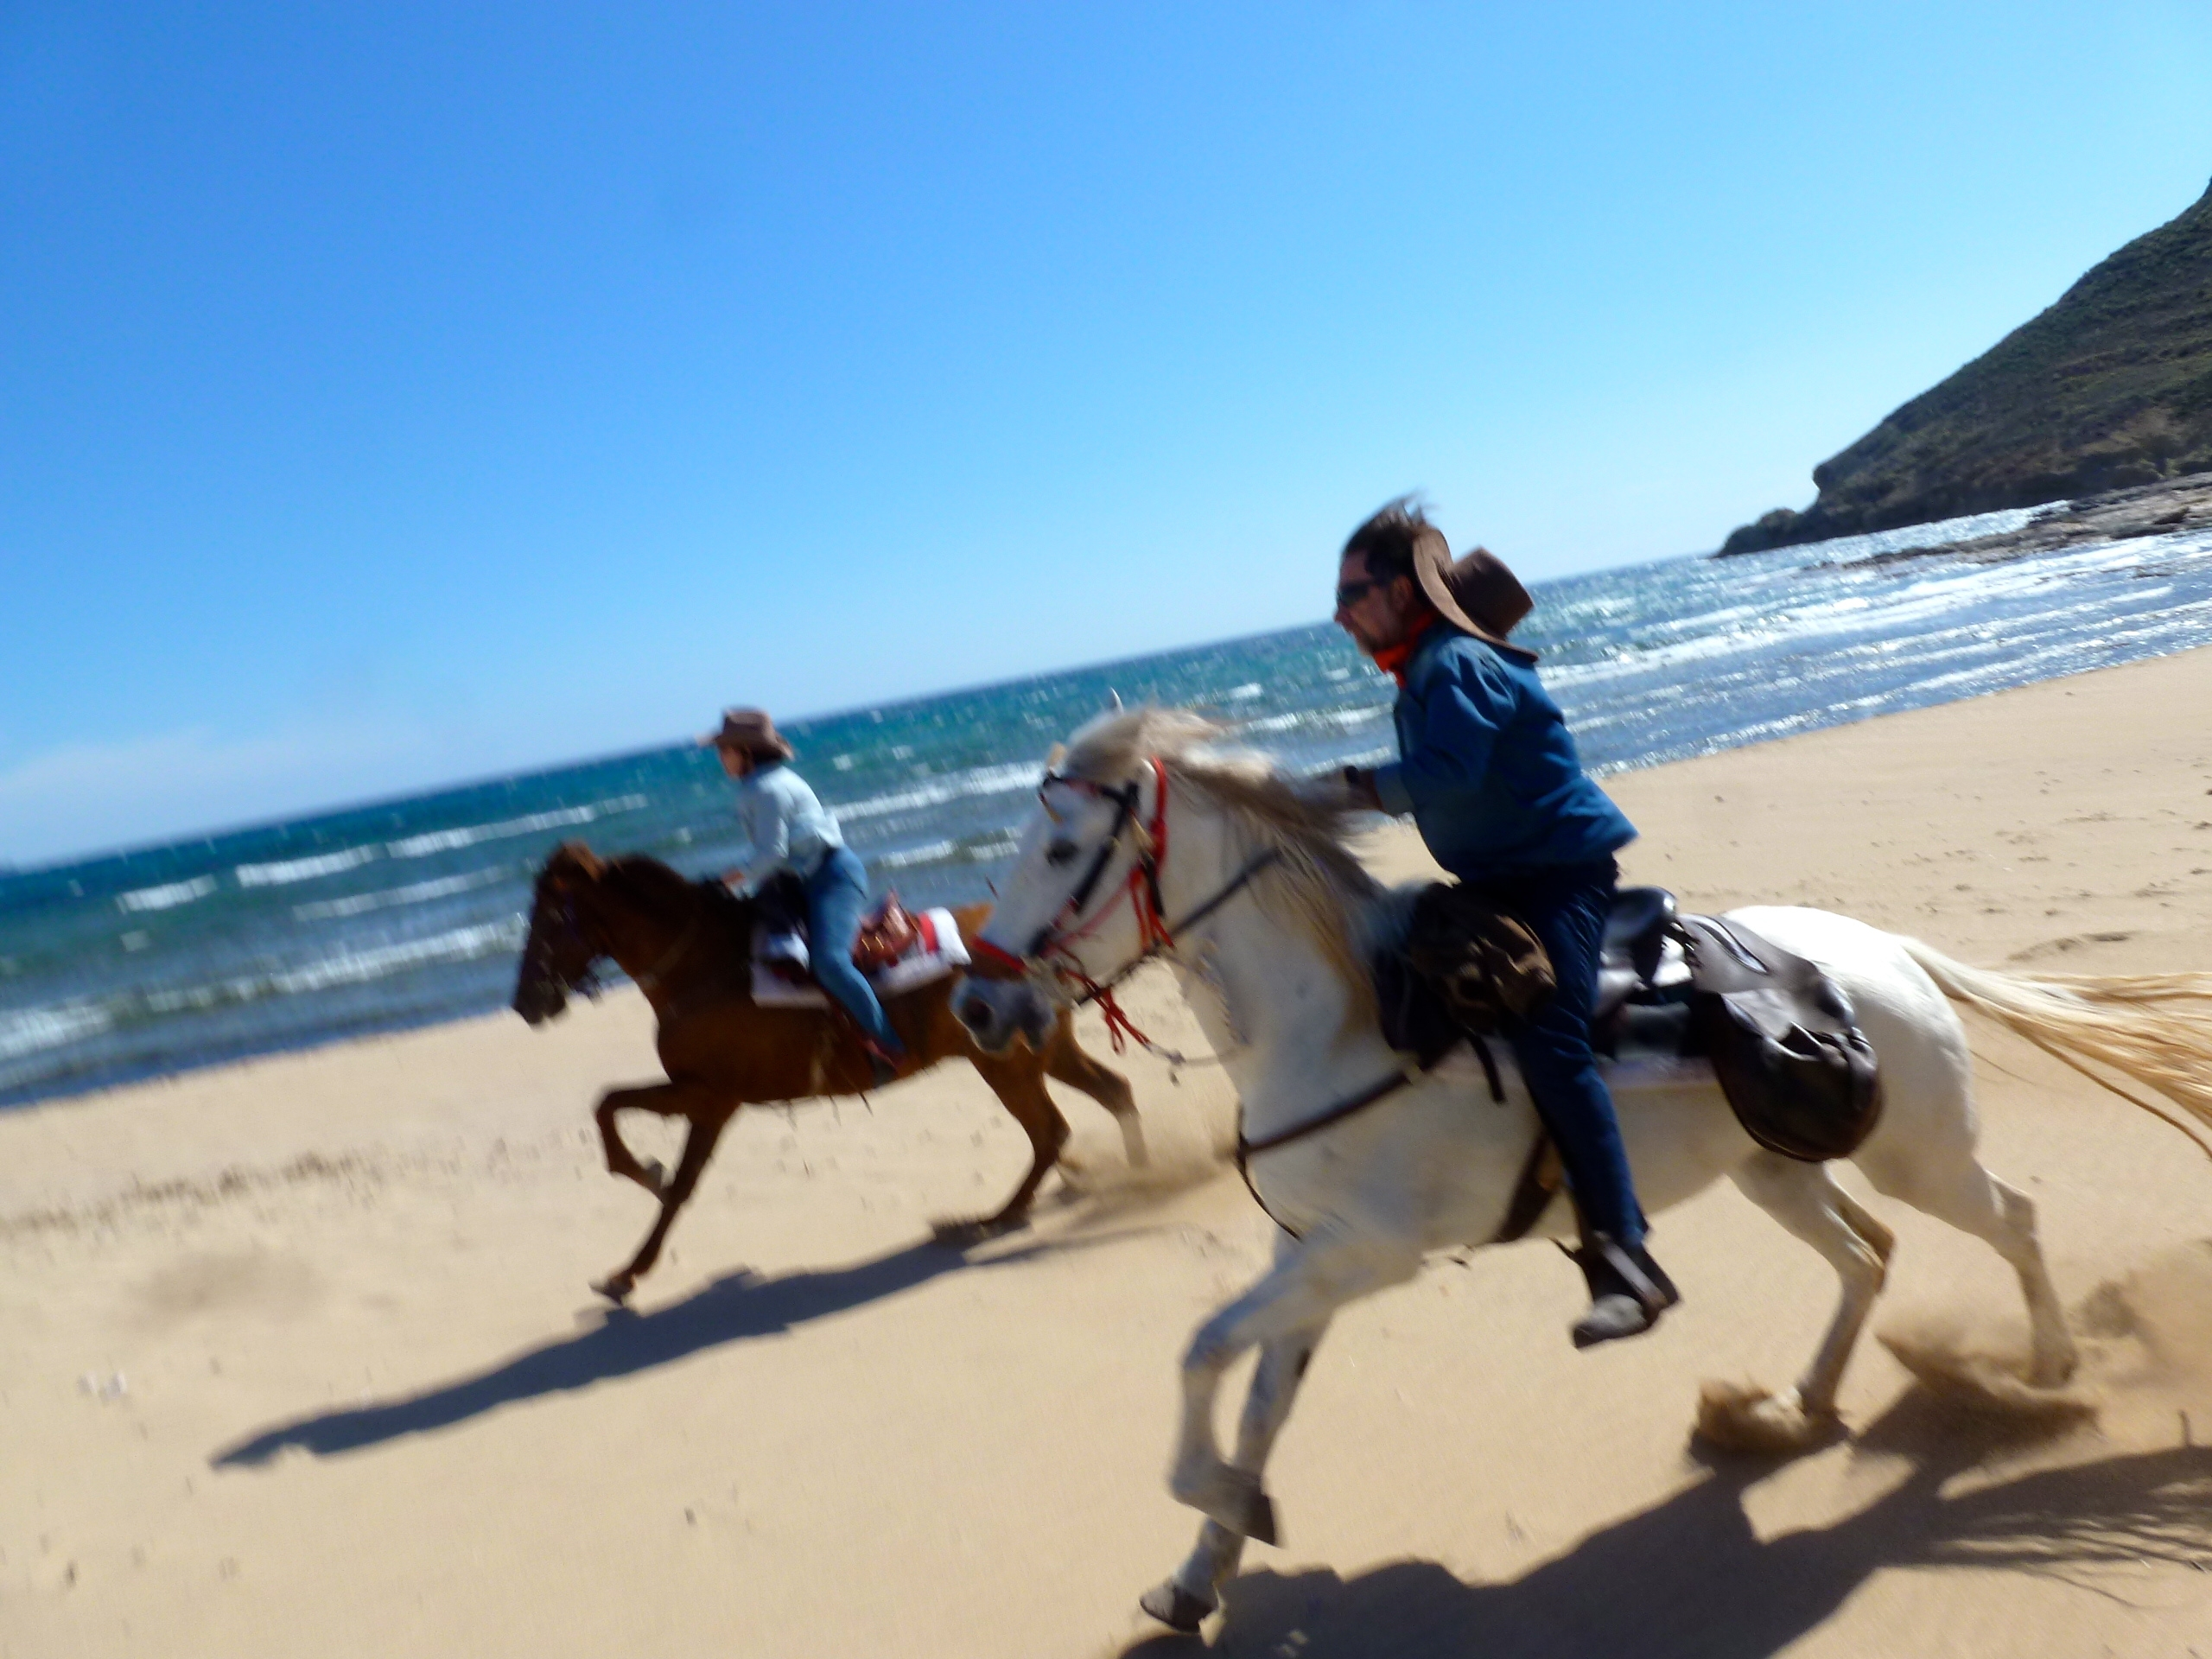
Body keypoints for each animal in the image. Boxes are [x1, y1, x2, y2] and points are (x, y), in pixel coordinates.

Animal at [512, 849, 1141, 1309]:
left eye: (549, 917)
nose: (523, 1004)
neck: (707, 971)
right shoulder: (704, 1098)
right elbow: (624, 1121)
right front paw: (637, 1231)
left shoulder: (710, 1097)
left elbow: (640, 1139)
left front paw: (639, 1212)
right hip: (1044, 1053)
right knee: (1109, 1095)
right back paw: (1129, 1173)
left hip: (1006, 1066)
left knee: (1050, 1132)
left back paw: (993, 1219)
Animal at [955, 712, 2212, 1637]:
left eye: (1060, 852)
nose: (976, 1003)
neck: (1341, 1023)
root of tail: (1885, 951)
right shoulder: (1305, 1254)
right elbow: (1256, 1397)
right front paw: (1201, 1564)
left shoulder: (1369, 1255)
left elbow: (1201, 1352)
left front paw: (1221, 1504)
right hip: (1778, 1174)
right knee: (1867, 1256)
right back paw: (1797, 1402)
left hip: (1920, 1156)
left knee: (2012, 1219)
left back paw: (2046, 1370)